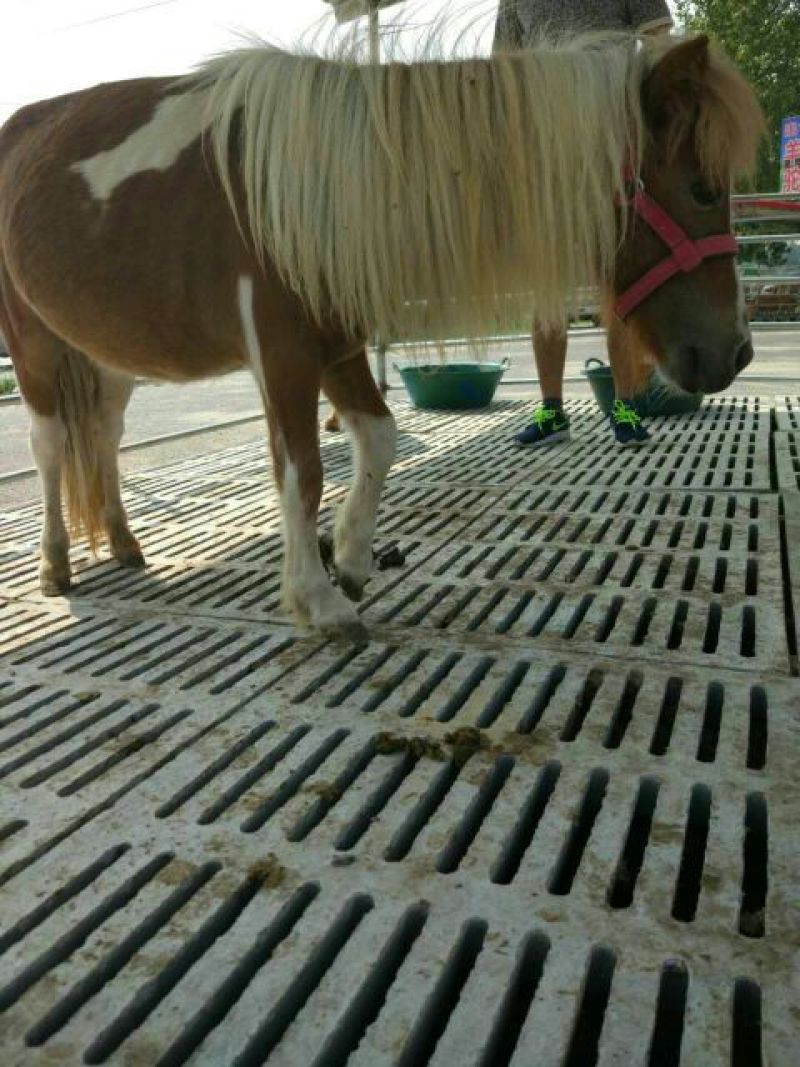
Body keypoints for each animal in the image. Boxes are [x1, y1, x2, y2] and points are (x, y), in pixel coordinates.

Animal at [0, 32, 763, 641]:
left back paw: (124, 543)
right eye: (701, 188)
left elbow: (381, 437)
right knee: (49, 446)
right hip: (32, 345)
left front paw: (352, 559)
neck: (326, 188)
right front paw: (318, 600)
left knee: (102, 437)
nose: (736, 351)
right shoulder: (284, 359)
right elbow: (301, 473)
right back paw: (55, 565)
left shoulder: (336, 348)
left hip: (108, 356)